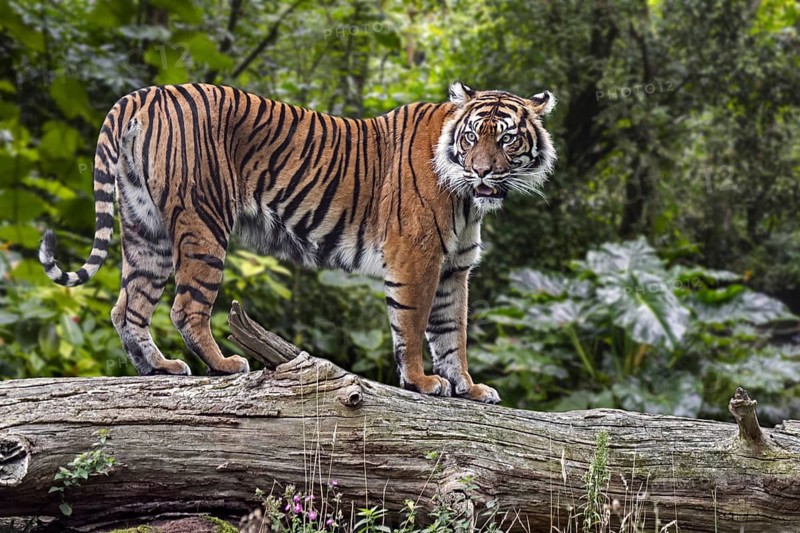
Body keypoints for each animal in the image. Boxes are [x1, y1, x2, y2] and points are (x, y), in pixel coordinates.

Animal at [38, 81, 556, 403]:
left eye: (506, 140)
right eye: (471, 138)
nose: (482, 171)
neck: (469, 200)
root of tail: (148, 92)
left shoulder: (455, 268)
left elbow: (452, 334)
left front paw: (467, 388)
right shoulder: (417, 257)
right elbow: (412, 327)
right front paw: (421, 382)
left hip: (147, 229)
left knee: (127, 306)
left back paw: (158, 368)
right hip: (204, 223)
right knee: (186, 308)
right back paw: (225, 365)